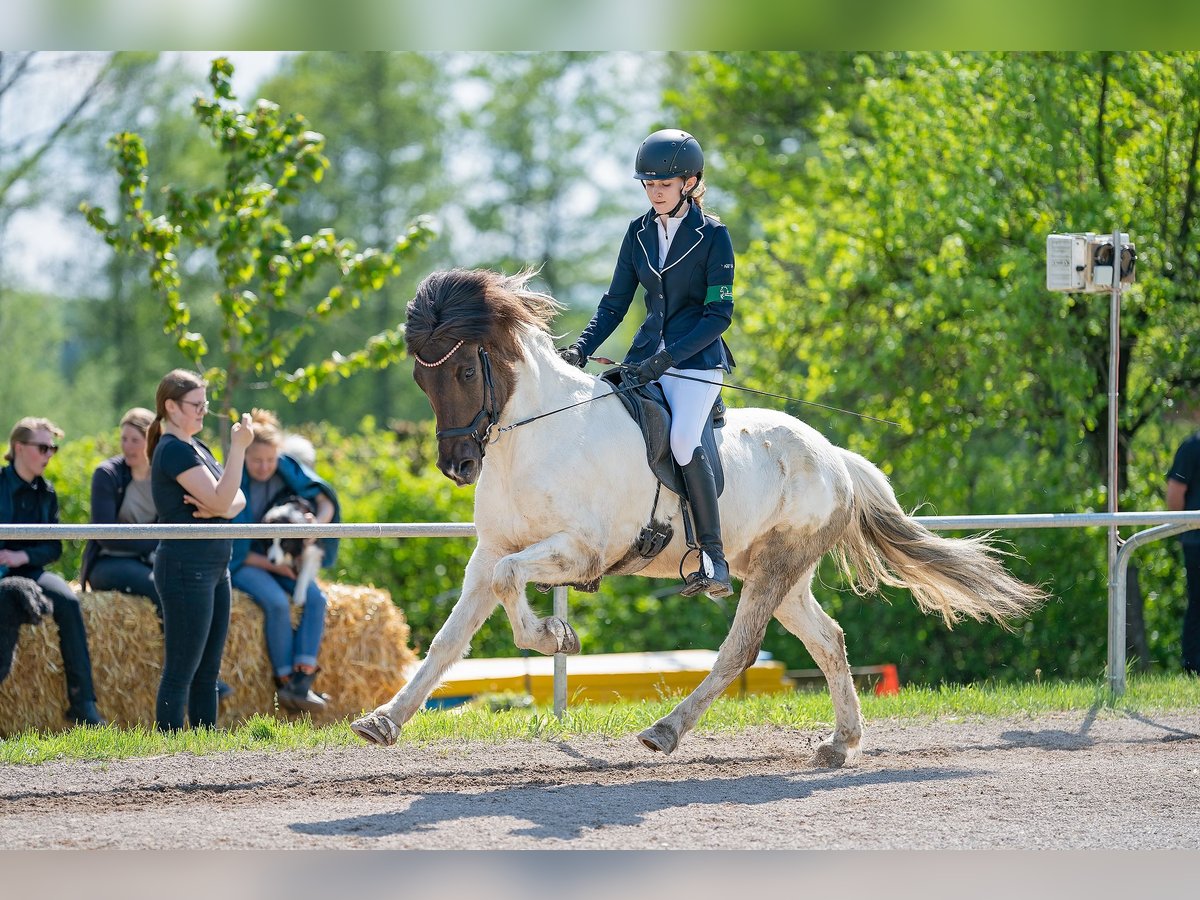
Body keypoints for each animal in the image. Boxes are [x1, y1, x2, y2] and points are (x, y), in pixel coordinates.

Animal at [350, 267, 1046, 768]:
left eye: (468, 369)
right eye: (423, 378)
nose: (458, 465)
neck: (533, 437)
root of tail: (835, 457)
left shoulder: (580, 551)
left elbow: (513, 587)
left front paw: (556, 636)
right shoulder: (490, 551)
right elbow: (451, 637)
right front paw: (383, 720)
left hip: (774, 569)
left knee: (739, 651)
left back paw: (665, 731)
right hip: (780, 574)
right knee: (829, 640)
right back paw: (840, 743)